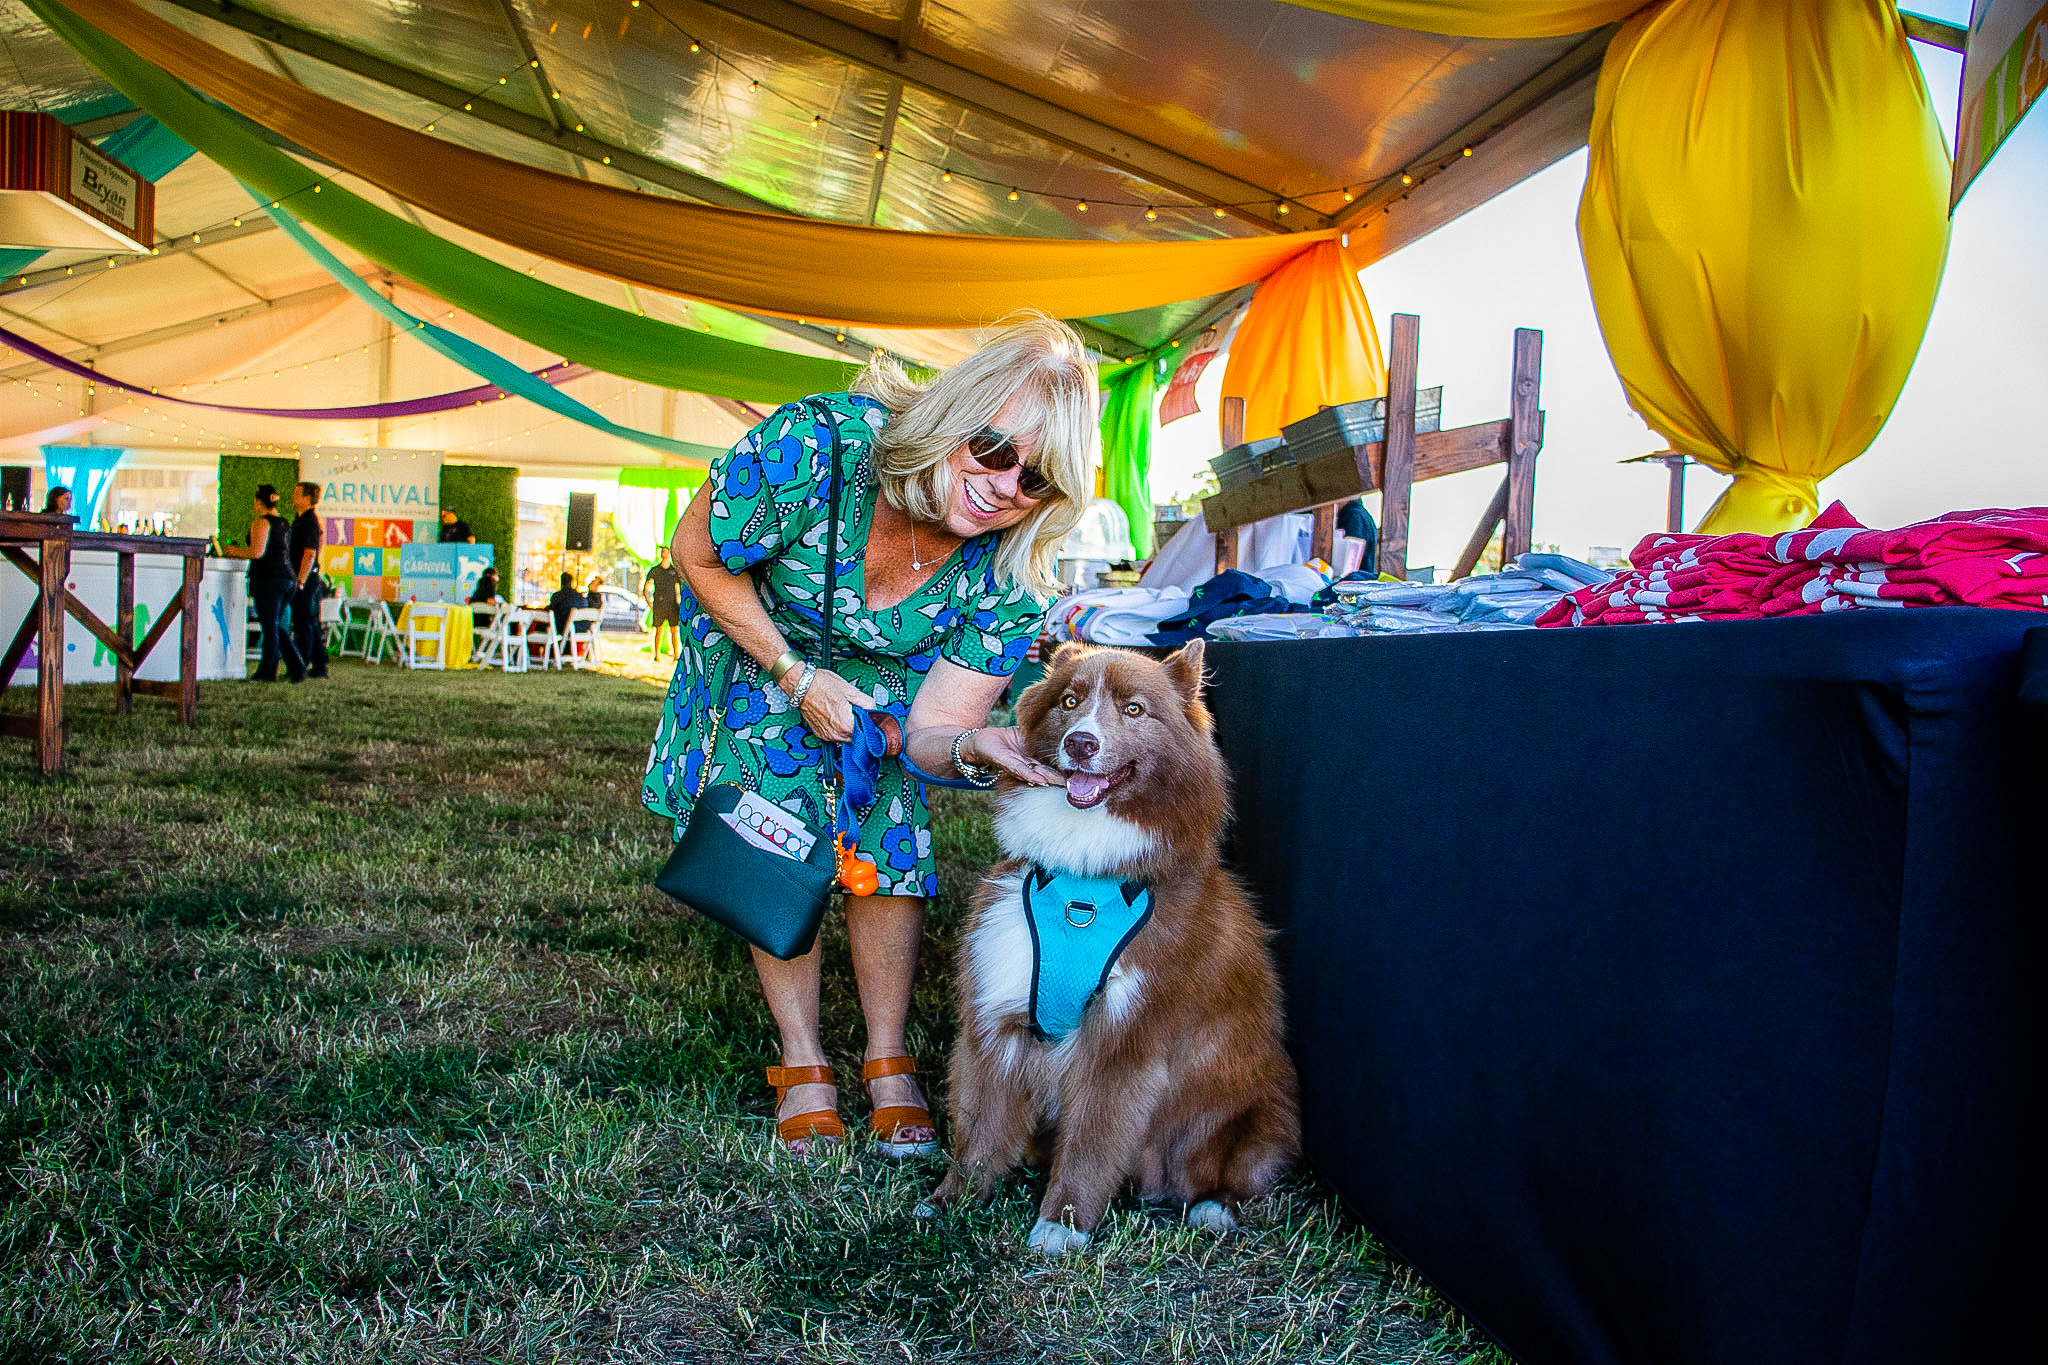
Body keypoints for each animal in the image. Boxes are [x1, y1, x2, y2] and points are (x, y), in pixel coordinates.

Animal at [925, 642, 1302, 1260]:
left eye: (1133, 709)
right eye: (1069, 701)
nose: (1081, 742)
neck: (1085, 878)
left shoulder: (1126, 1041)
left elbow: (1092, 1142)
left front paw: (1061, 1226)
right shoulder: (996, 1016)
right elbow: (981, 1127)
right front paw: (951, 1202)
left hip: (1249, 1114)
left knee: (1228, 1175)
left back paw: (1212, 1210)